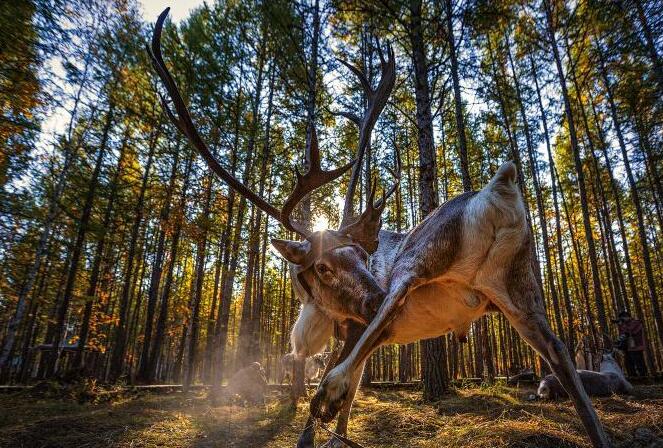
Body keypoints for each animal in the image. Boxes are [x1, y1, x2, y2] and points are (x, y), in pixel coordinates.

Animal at [149, 8, 612, 446]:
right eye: (323, 267)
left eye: (361, 255)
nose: (373, 295)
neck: (317, 312)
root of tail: (503, 186)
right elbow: (353, 396)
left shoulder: (356, 329)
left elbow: (342, 392)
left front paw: (321, 420)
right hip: (519, 293)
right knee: (559, 352)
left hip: (421, 260)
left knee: (385, 314)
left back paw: (327, 392)